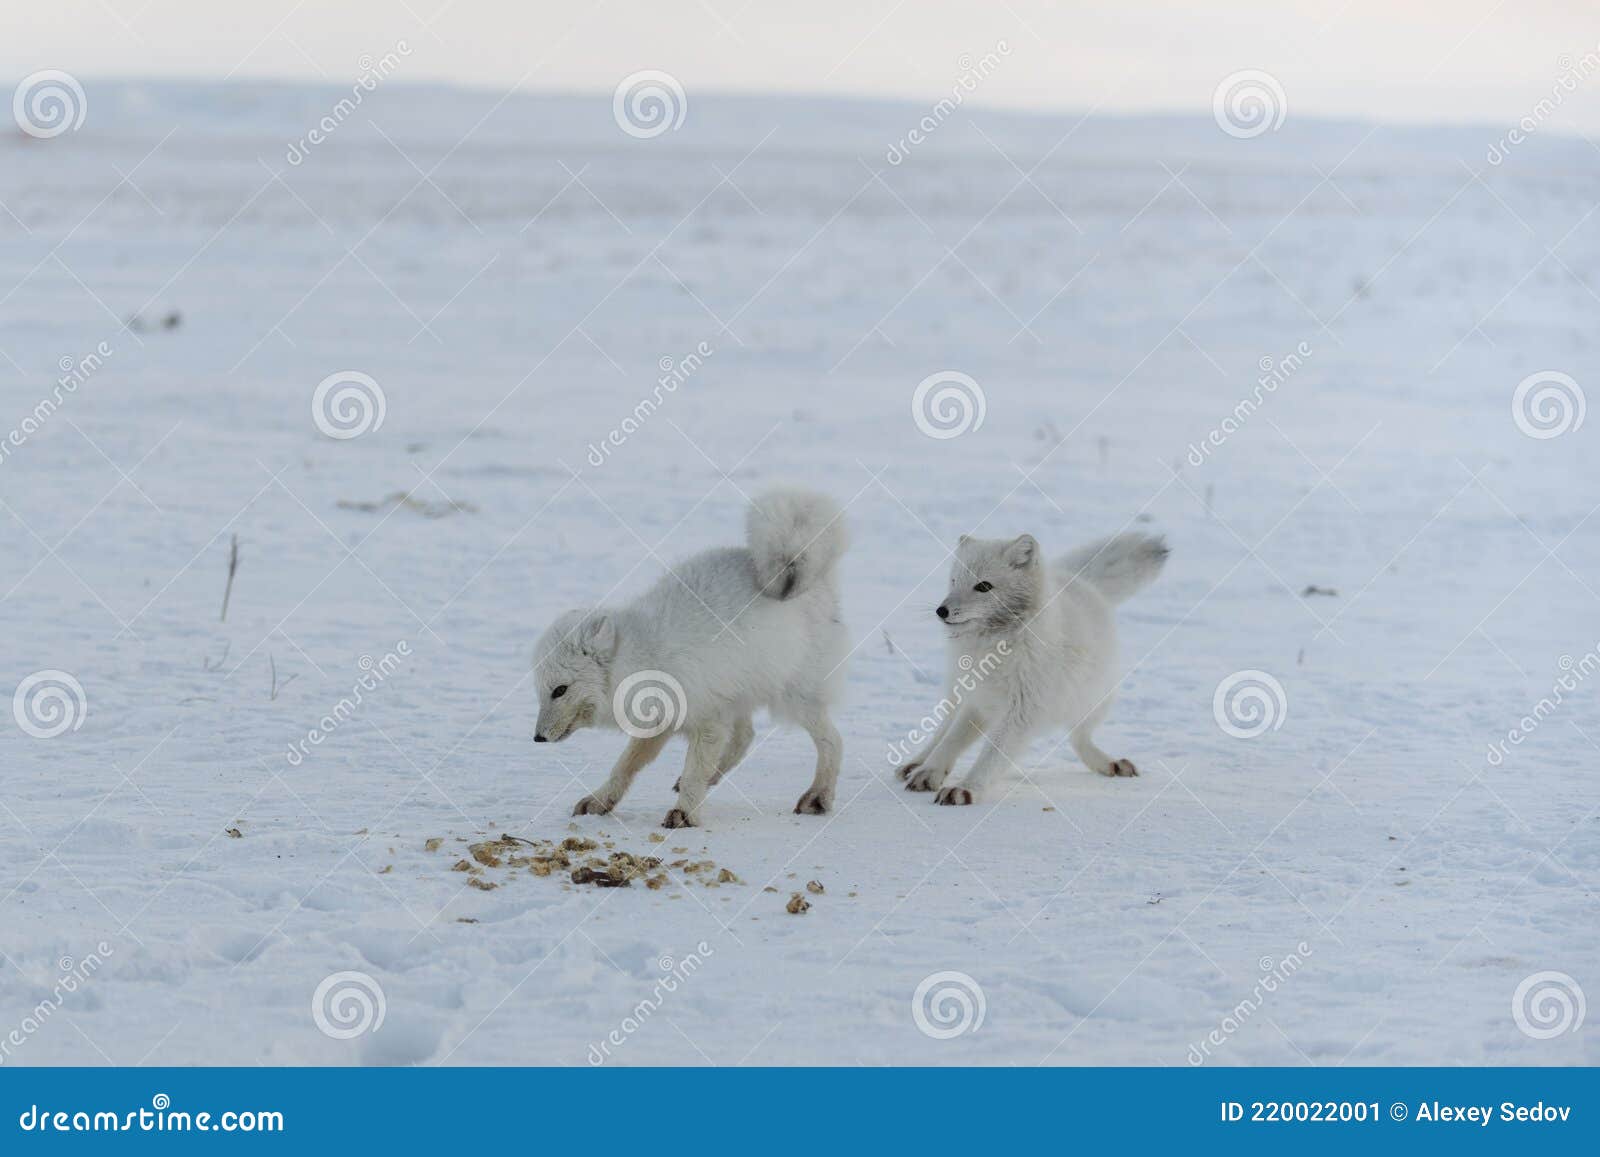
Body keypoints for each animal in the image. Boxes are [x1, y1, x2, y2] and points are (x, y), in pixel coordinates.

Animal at [532, 488, 850, 828]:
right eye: (541, 692)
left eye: (560, 690)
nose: (537, 738)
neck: (645, 655)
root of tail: (815, 578)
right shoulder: (661, 721)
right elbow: (626, 765)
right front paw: (601, 800)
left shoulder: (707, 719)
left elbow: (695, 766)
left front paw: (684, 814)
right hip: (739, 693)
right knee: (745, 737)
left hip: (794, 697)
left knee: (833, 740)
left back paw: (818, 796)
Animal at [897, 530, 1169, 805]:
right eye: (954, 581)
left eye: (983, 586)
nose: (941, 611)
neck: (998, 645)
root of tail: (1077, 579)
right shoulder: (979, 701)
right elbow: (950, 741)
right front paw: (929, 772)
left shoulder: (1023, 710)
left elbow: (992, 754)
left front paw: (967, 788)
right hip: (959, 692)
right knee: (942, 729)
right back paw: (916, 763)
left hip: (1094, 701)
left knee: (1079, 738)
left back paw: (1107, 762)